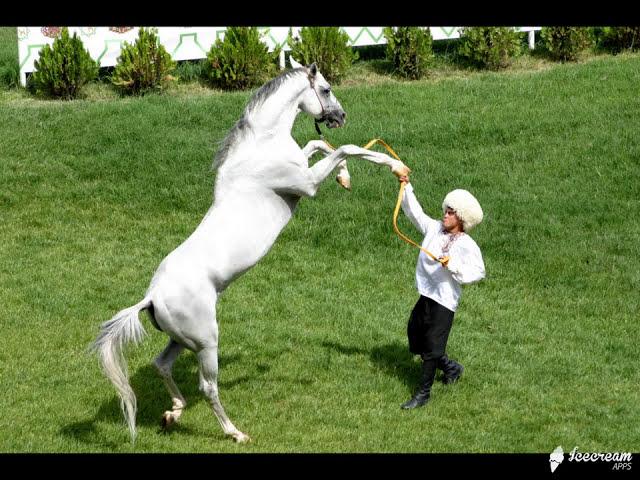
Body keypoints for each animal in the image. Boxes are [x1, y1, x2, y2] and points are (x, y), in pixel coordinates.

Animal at [91, 59, 410, 442]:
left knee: (161, 364)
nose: (340, 116)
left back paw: (173, 414)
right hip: (206, 342)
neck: (261, 147)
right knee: (208, 387)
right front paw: (395, 166)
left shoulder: (305, 165)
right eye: (326, 89)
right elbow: (344, 148)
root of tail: (151, 297)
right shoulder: (307, 184)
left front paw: (344, 178)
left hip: (182, 340)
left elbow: (318, 143)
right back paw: (235, 433)